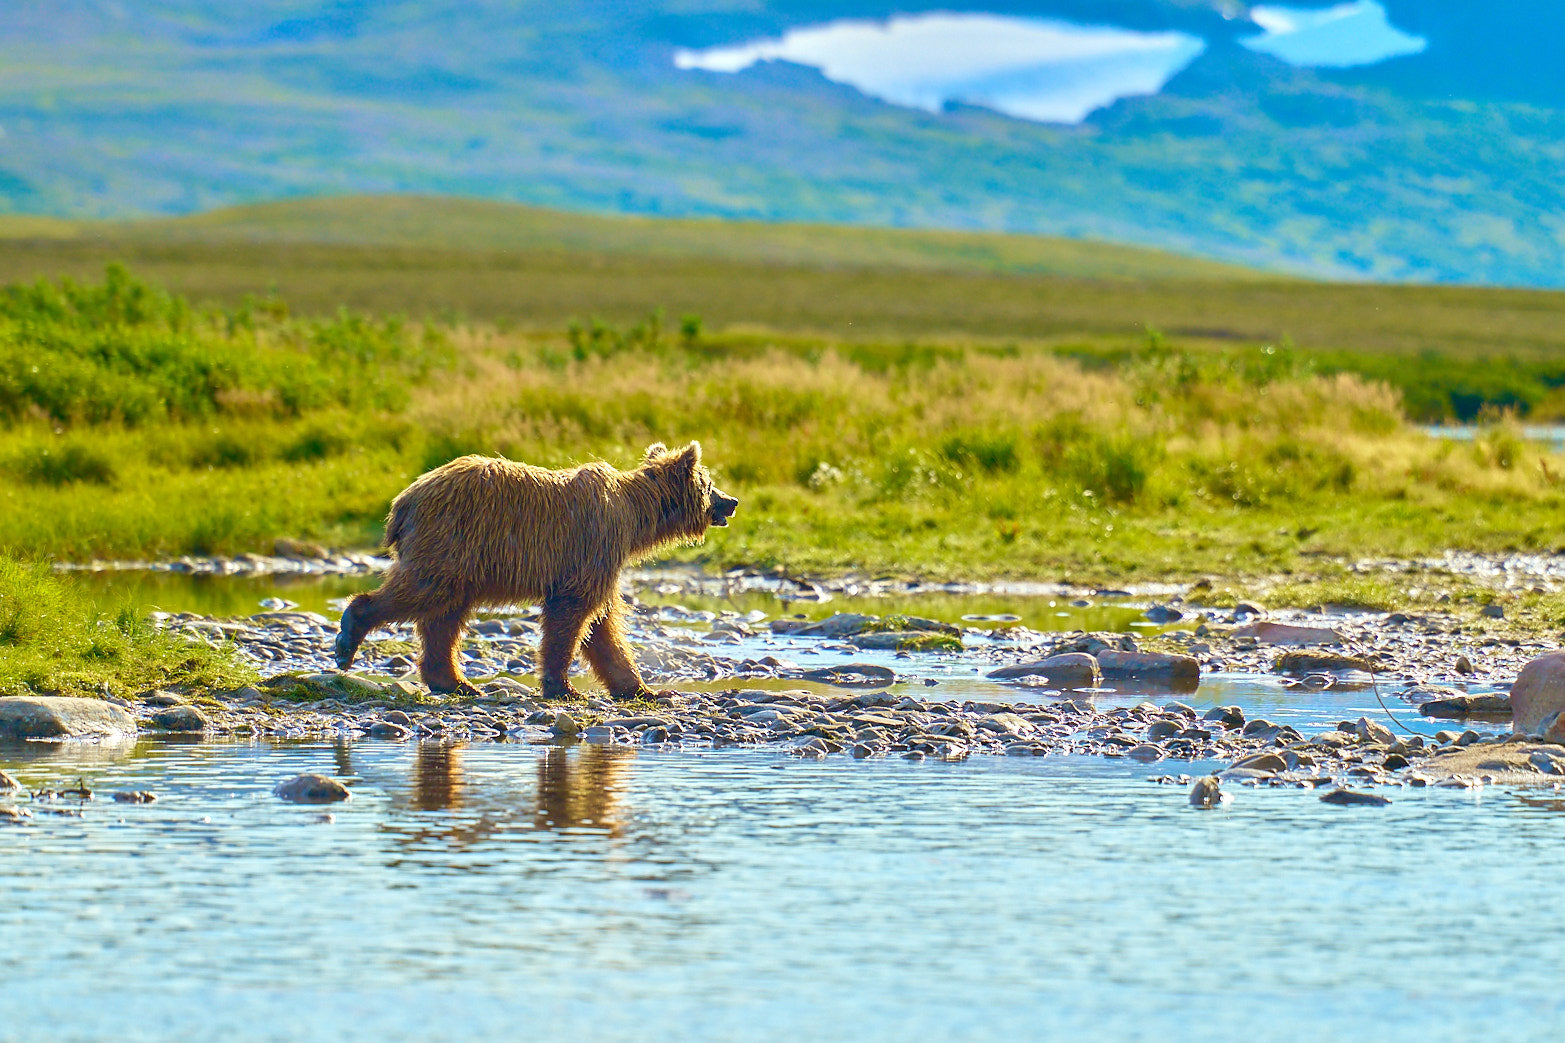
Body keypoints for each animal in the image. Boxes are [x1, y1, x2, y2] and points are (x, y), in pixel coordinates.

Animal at [333, 441, 738, 699]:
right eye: (710, 483)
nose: (732, 501)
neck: (635, 518)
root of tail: (404, 499)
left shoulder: (602, 560)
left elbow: (603, 627)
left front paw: (643, 689)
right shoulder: (593, 545)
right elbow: (572, 615)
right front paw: (565, 688)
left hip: (461, 560)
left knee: (444, 616)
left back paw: (455, 682)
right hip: (451, 540)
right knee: (422, 592)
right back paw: (347, 639)